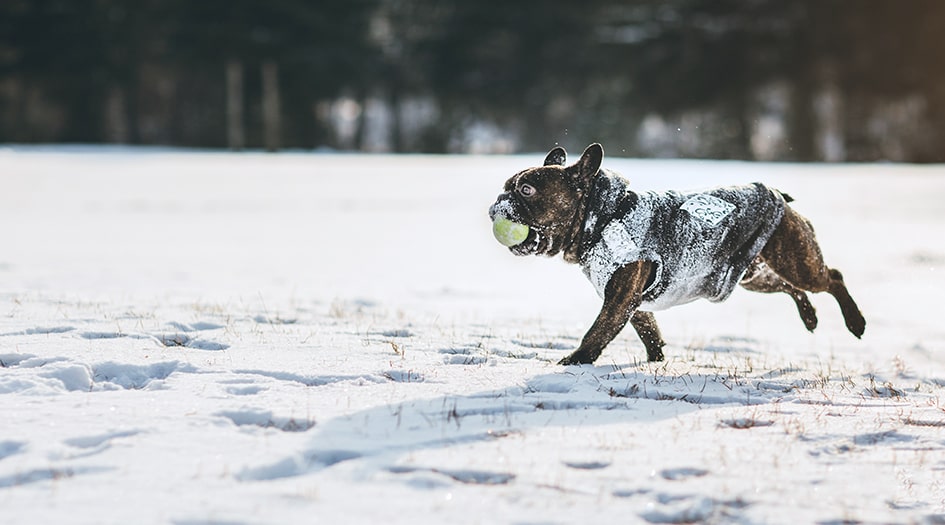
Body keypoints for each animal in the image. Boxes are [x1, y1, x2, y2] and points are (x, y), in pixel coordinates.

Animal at [490, 143, 868, 364]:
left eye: (526, 190)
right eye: (506, 188)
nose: (499, 202)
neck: (604, 217)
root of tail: (778, 194)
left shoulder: (619, 298)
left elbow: (597, 331)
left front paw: (576, 361)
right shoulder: (632, 301)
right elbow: (649, 331)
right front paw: (657, 361)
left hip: (795, 260)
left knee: (831, 278)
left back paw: (855, 322)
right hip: (750, 274)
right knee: (792, 288)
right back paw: (810, 317)